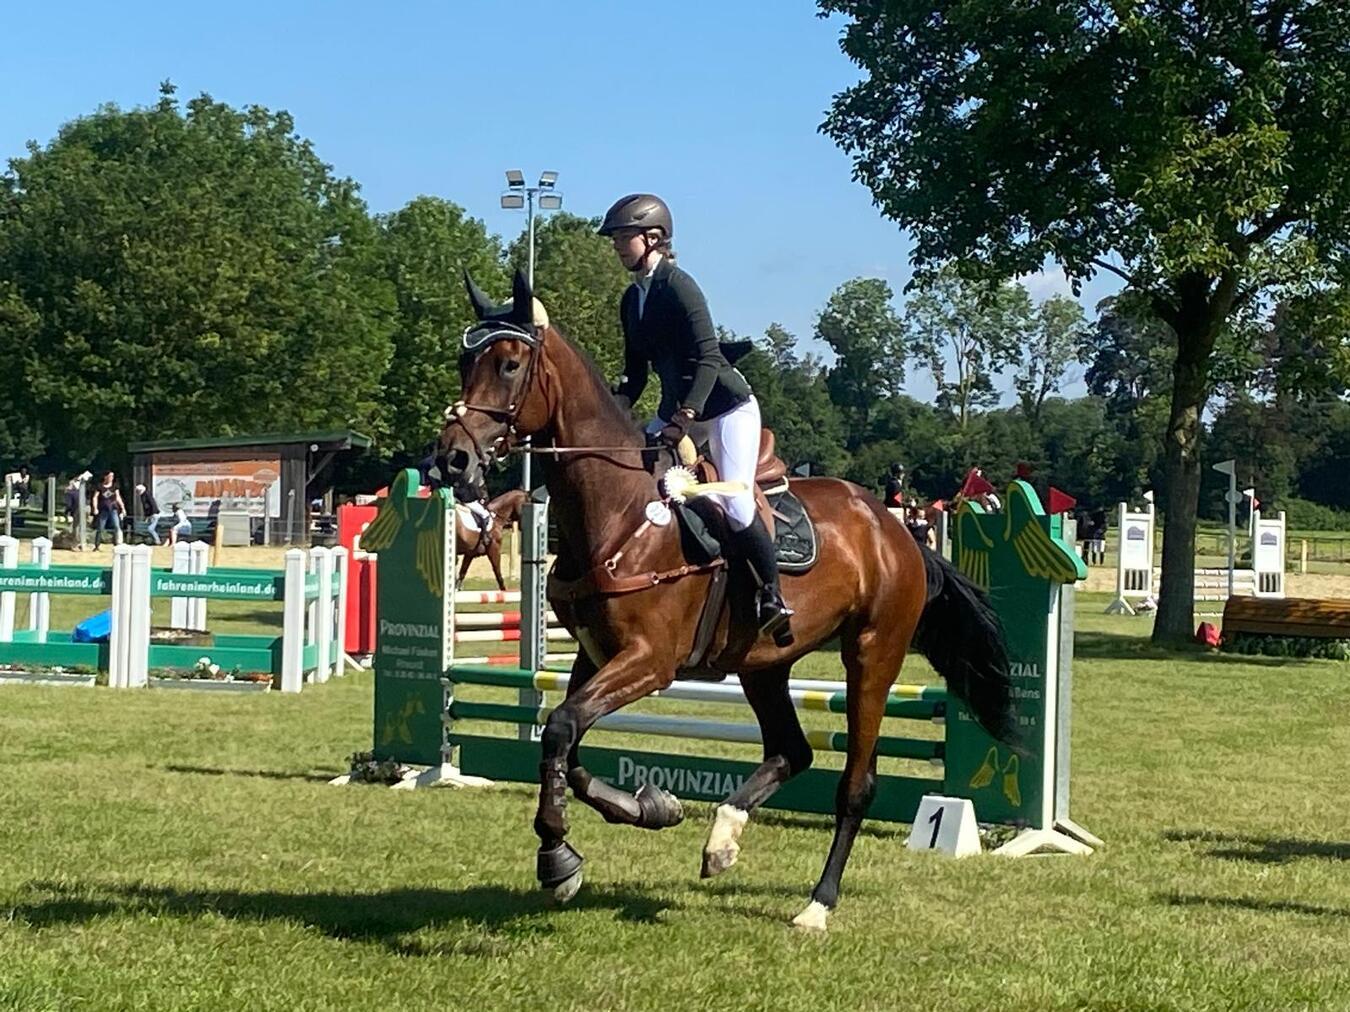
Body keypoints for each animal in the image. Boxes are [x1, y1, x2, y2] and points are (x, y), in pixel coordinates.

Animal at [436, 270, 1016, 931]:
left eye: (509, 364)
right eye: (464, 363)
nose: (450, 459)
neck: (620, 513)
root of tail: (896, 532)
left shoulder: (649, 661)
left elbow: (559, 728)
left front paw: (557, 857)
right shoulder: (594, 655)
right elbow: (569, 745)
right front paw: (651, 808)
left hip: (873, 654)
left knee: (855, 783)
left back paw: (817, 904)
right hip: (764, 663)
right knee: (791, 750)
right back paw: (722, 839)